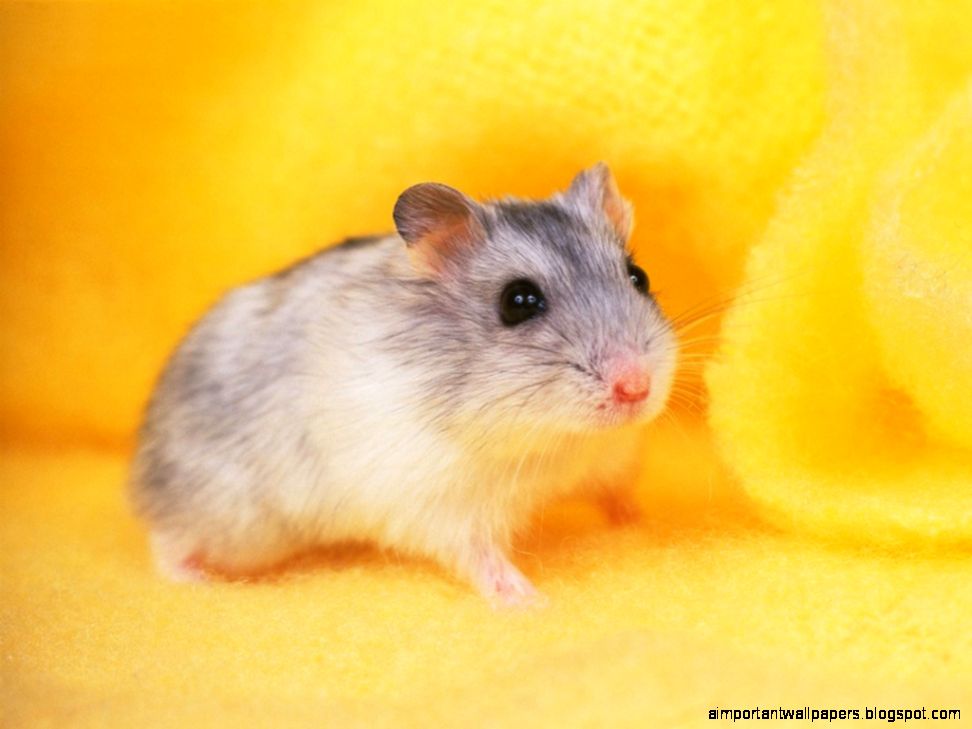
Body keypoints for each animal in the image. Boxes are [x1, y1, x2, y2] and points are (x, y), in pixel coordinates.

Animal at [129, 163, 677, 606]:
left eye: (639, 276)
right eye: (518, 302)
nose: (636, 387)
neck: (557, 440)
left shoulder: (609, 459)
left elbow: (617, 495)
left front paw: (645, 525)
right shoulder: (443, 506)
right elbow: (481, 557)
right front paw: (531, 602)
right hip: (226, 516)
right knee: (165, 539)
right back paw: (193, 581)